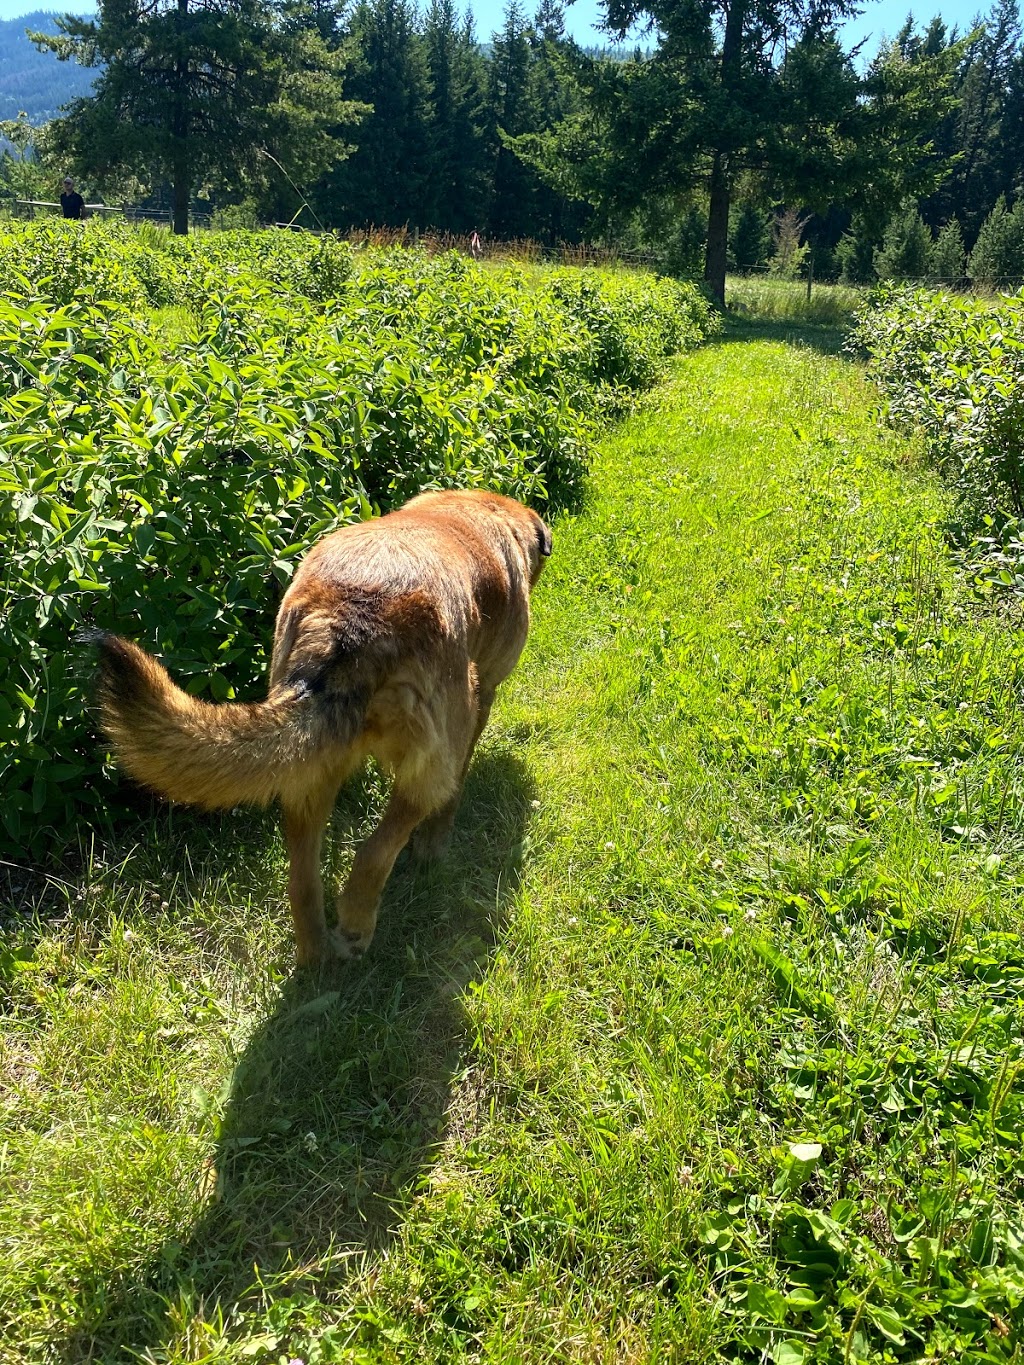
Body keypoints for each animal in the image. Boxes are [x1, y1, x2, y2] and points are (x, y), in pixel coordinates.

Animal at [96, 488, 554, 960]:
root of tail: (354, 619)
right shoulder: (477, 705)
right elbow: (453, 790)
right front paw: (434, 844)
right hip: (426, 765)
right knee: (376, 850)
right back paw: (355, 926)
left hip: (306, 767)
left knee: (302, 880)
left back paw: (315, 957)